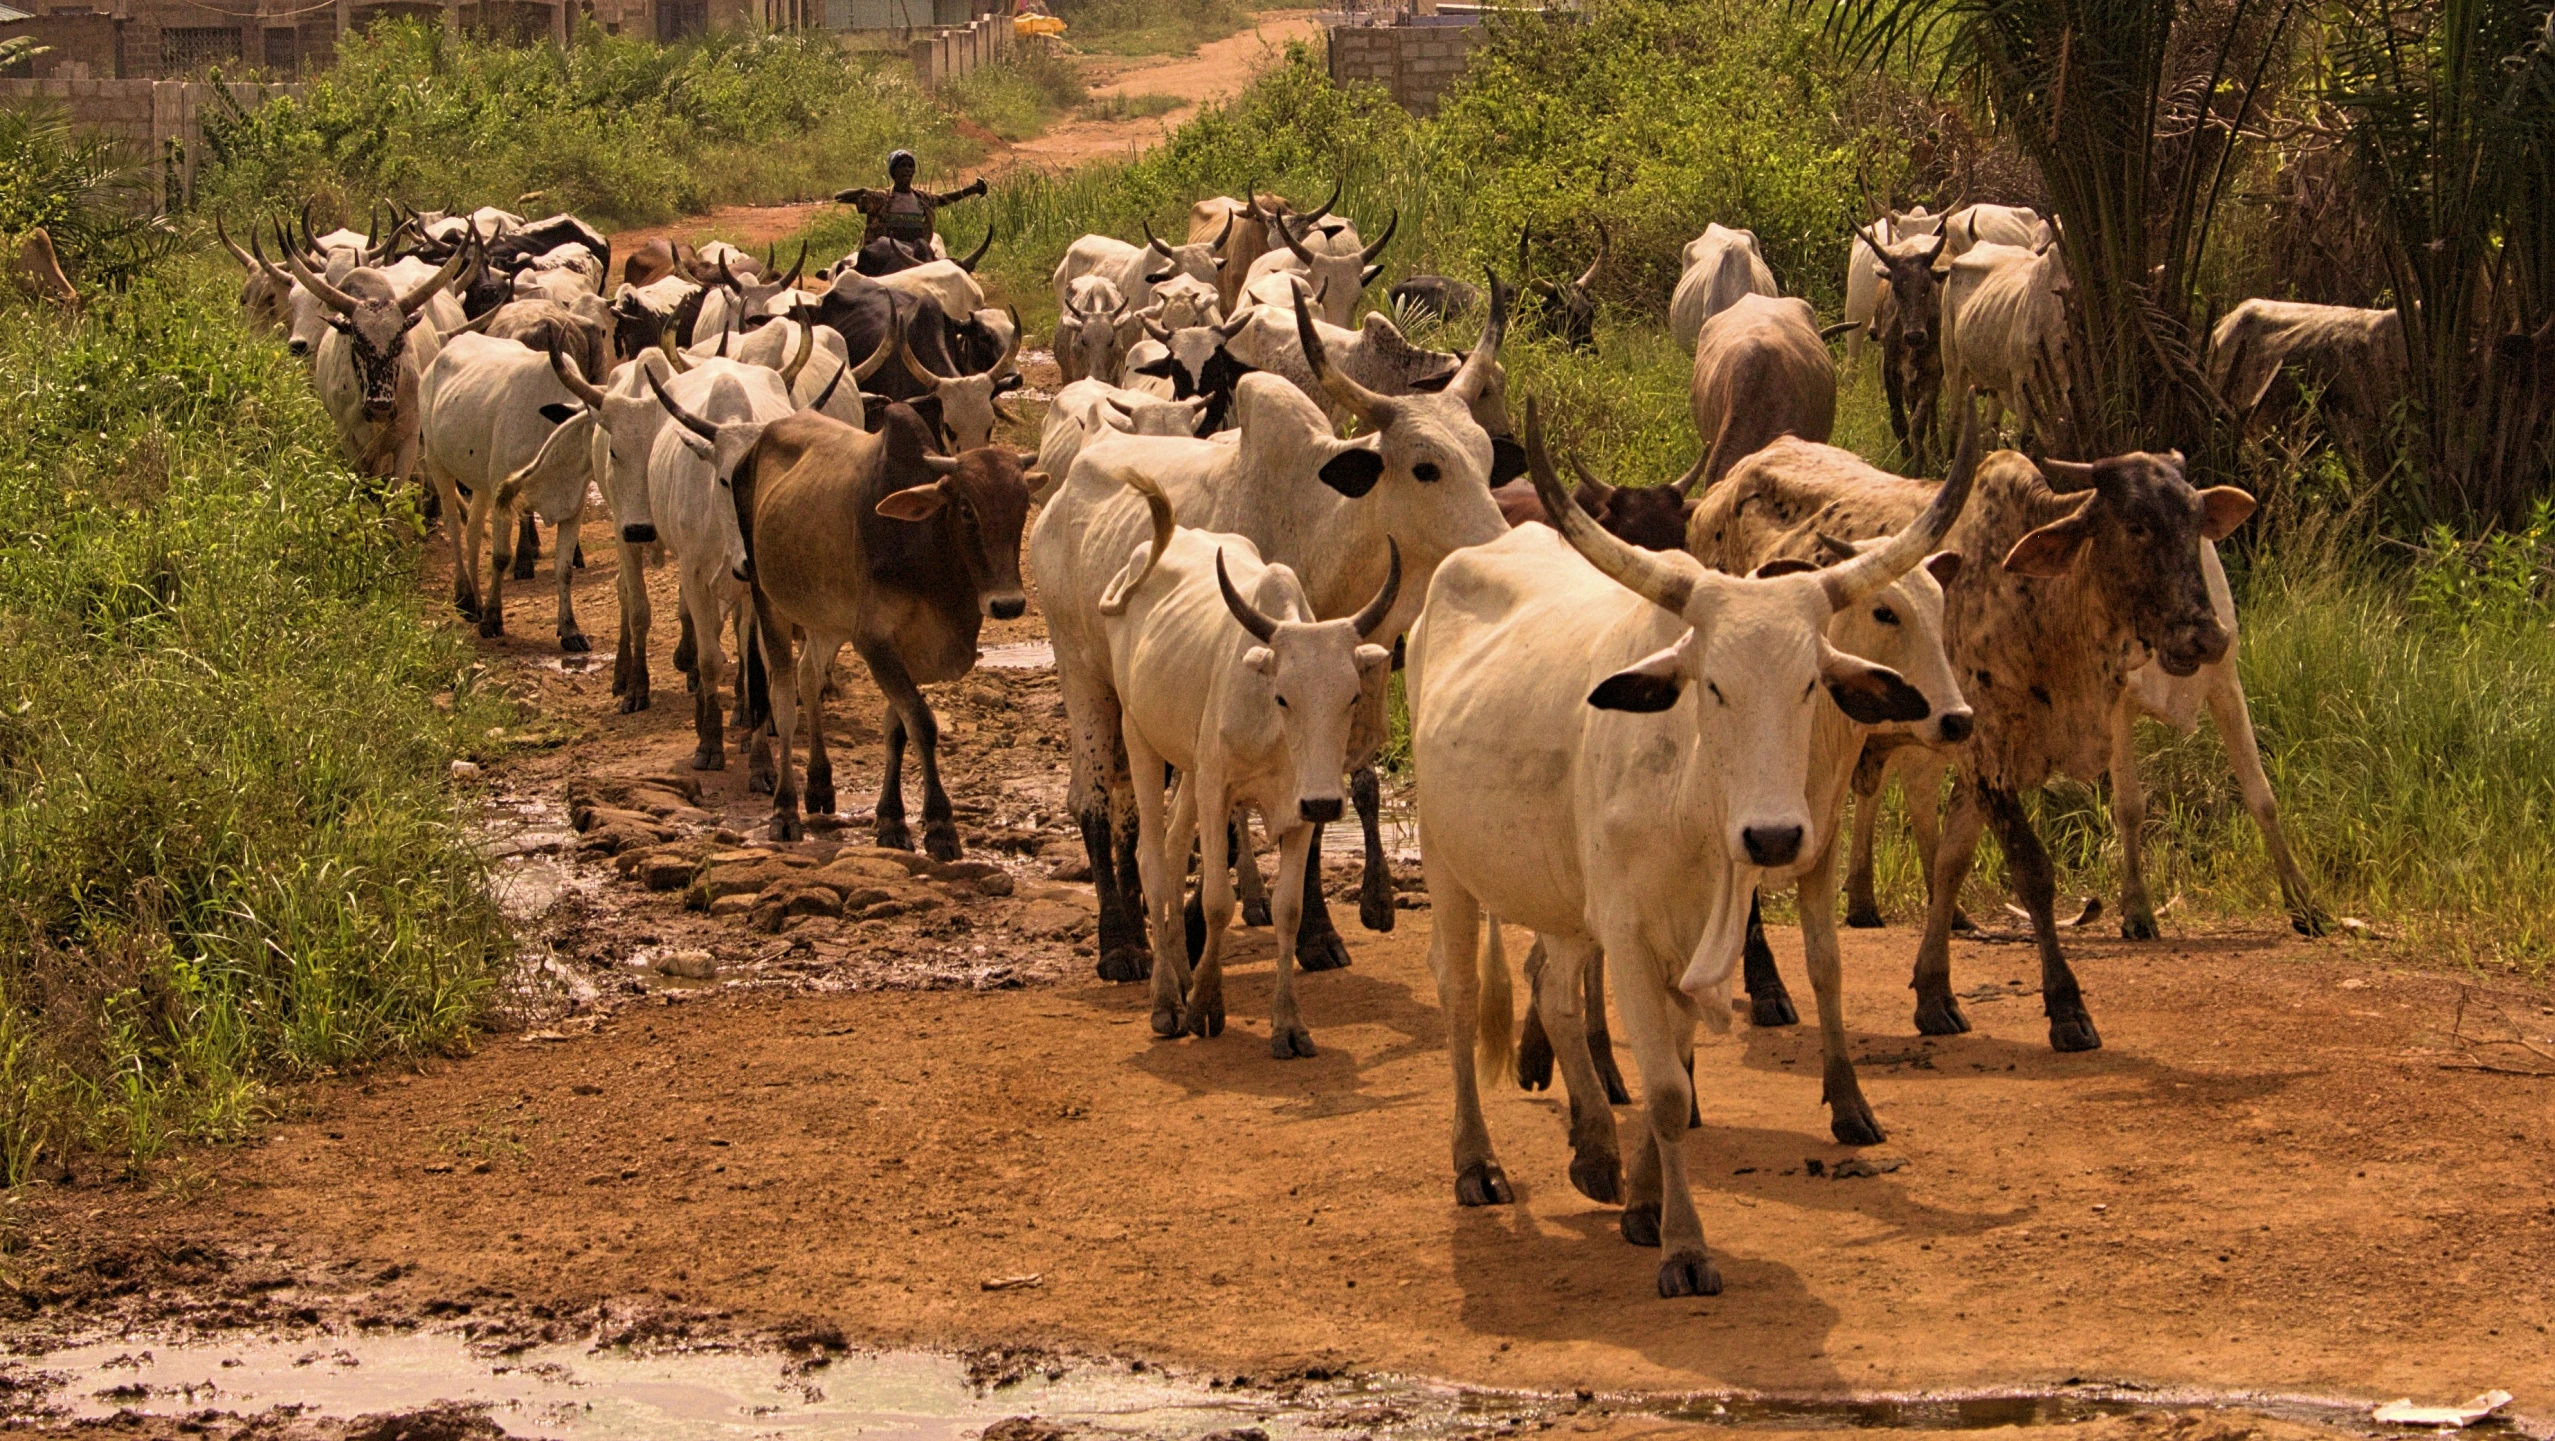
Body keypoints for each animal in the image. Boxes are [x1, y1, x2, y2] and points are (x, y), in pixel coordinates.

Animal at [730, 406, 1037, 848]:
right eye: (966, 509)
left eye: (1024, 505)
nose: (1008, 603)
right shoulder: (874, 641)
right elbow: (922, 723)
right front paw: (940, 825)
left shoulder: (908, 649)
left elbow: (898, 728)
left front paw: (891, 819)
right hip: (766, 599)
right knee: (784, 700)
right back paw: (784, 809)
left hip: (826, 619)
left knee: (810, 678)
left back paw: (819, 786)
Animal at [1410, 403, 1962, 1292]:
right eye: (1712, 685)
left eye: (1810, 683)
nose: (1771, 835)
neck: (1691, 805)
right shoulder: (1632, 936)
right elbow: (1667, 1090)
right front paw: (1683, 1245)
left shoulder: (1699, 931)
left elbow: (1676, 1059)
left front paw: (1641, 1198)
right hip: (1448, 865)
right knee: (1460, 997)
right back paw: (1476, 1163)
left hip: (1565, 899)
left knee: (1554, 990)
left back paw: (1593, 1150)